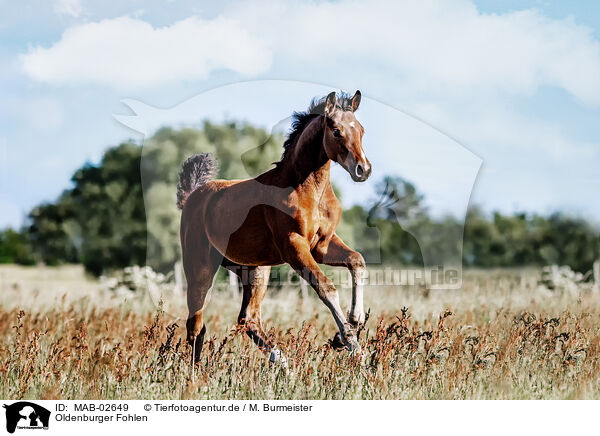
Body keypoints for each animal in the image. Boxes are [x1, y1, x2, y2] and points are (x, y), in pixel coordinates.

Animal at [177, 90, 370, 362]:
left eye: (361, 129)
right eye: (336, 131)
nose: (363, 169)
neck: (306, 188)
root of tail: (191, 197)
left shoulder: (322, 245)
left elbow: (357, 260)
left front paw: (355, 320)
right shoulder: (294, 245)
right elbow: (326, 287)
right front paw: (351, 342)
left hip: (255, 269)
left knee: (247, 318)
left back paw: (282, 361)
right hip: (200, 268)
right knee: (196, 324)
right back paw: (196, 371)